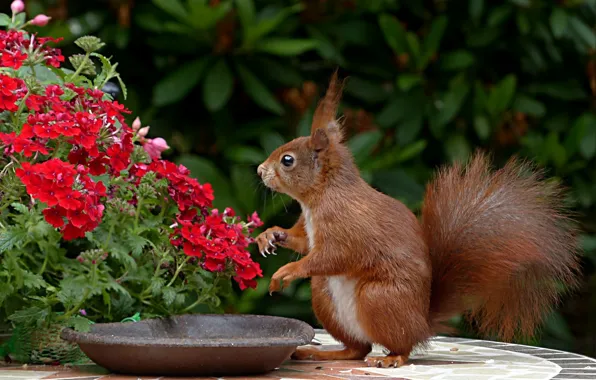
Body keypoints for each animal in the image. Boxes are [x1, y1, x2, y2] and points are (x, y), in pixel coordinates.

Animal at [254, 72, 580, 368]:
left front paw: (288, 271)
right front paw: (270, 235)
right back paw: (322, 352)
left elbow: (334, 255)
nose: (259, 170)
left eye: (287, 160)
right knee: (357, 348)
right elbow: (303, 241)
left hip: (378, 298)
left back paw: (391, 357)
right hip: (325, 296)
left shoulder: (347, 225)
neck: (320, 197)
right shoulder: (310, 229)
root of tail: (422, 323)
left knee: (400, 346)